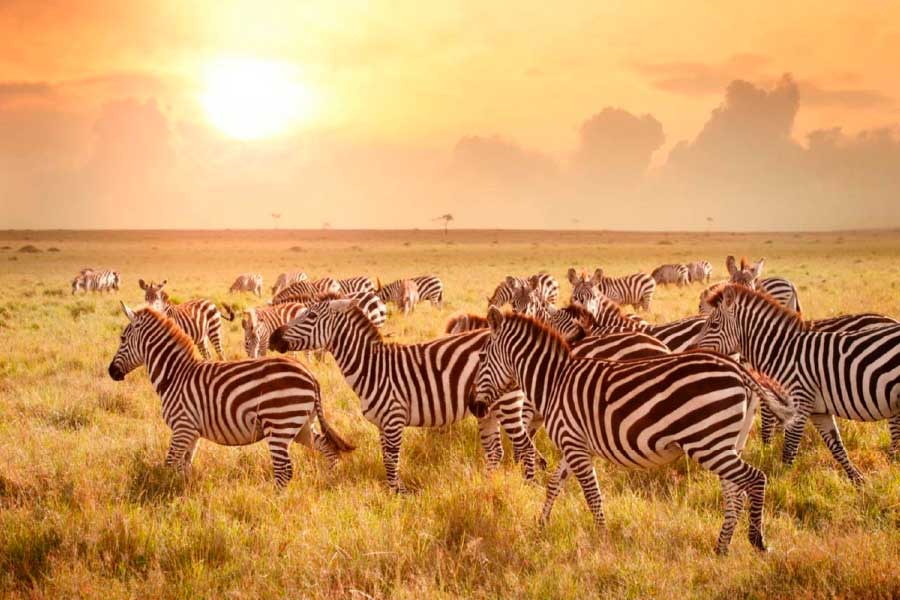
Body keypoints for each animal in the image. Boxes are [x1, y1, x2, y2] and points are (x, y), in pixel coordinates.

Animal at [109, 303, 354, 487]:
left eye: (122, 339)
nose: (111, 372)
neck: (175, 375)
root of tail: (310, 375)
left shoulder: (182, 427)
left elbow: (169, 465)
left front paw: (163, 493)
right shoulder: (192, 432)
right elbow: (184, 467)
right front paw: (182, 494)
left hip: (279, 424)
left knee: (284, 470)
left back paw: (274, 502)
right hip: (301, 426)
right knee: (328, 448)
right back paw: (329, 481)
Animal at [268, 299, 537, 489]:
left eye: (311, 316)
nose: (273, 337)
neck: (372, 368)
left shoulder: (394, 419)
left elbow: (391, 461)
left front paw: (398, 496)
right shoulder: (381, 424)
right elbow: (386, 459)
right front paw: (392, 494)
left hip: (507, 404)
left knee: (526, 447)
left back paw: (529, 486)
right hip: (487, 410)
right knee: (496, 451)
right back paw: (487, 486)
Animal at [471, 307, 793, 555]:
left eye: (483, 358)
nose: (475, 407)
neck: (554, 382)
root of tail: (739, 370)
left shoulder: (574, 445)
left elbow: (592, 495)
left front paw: (602, 540)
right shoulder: (573, 444)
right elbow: (554, 484)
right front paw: (541, 524)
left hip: (708, 443)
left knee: (755, 479)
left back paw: (757, 540)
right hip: (726, 443)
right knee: (734, 494)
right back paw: (721, 548)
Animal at [692, 284, 900, 484]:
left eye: (714, 325)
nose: (692, 350)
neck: (781, 351)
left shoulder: (798, 403)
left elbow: (788, 450)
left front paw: (782, 484)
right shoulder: (818, 411)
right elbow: (837, 448)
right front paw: (859, 483)